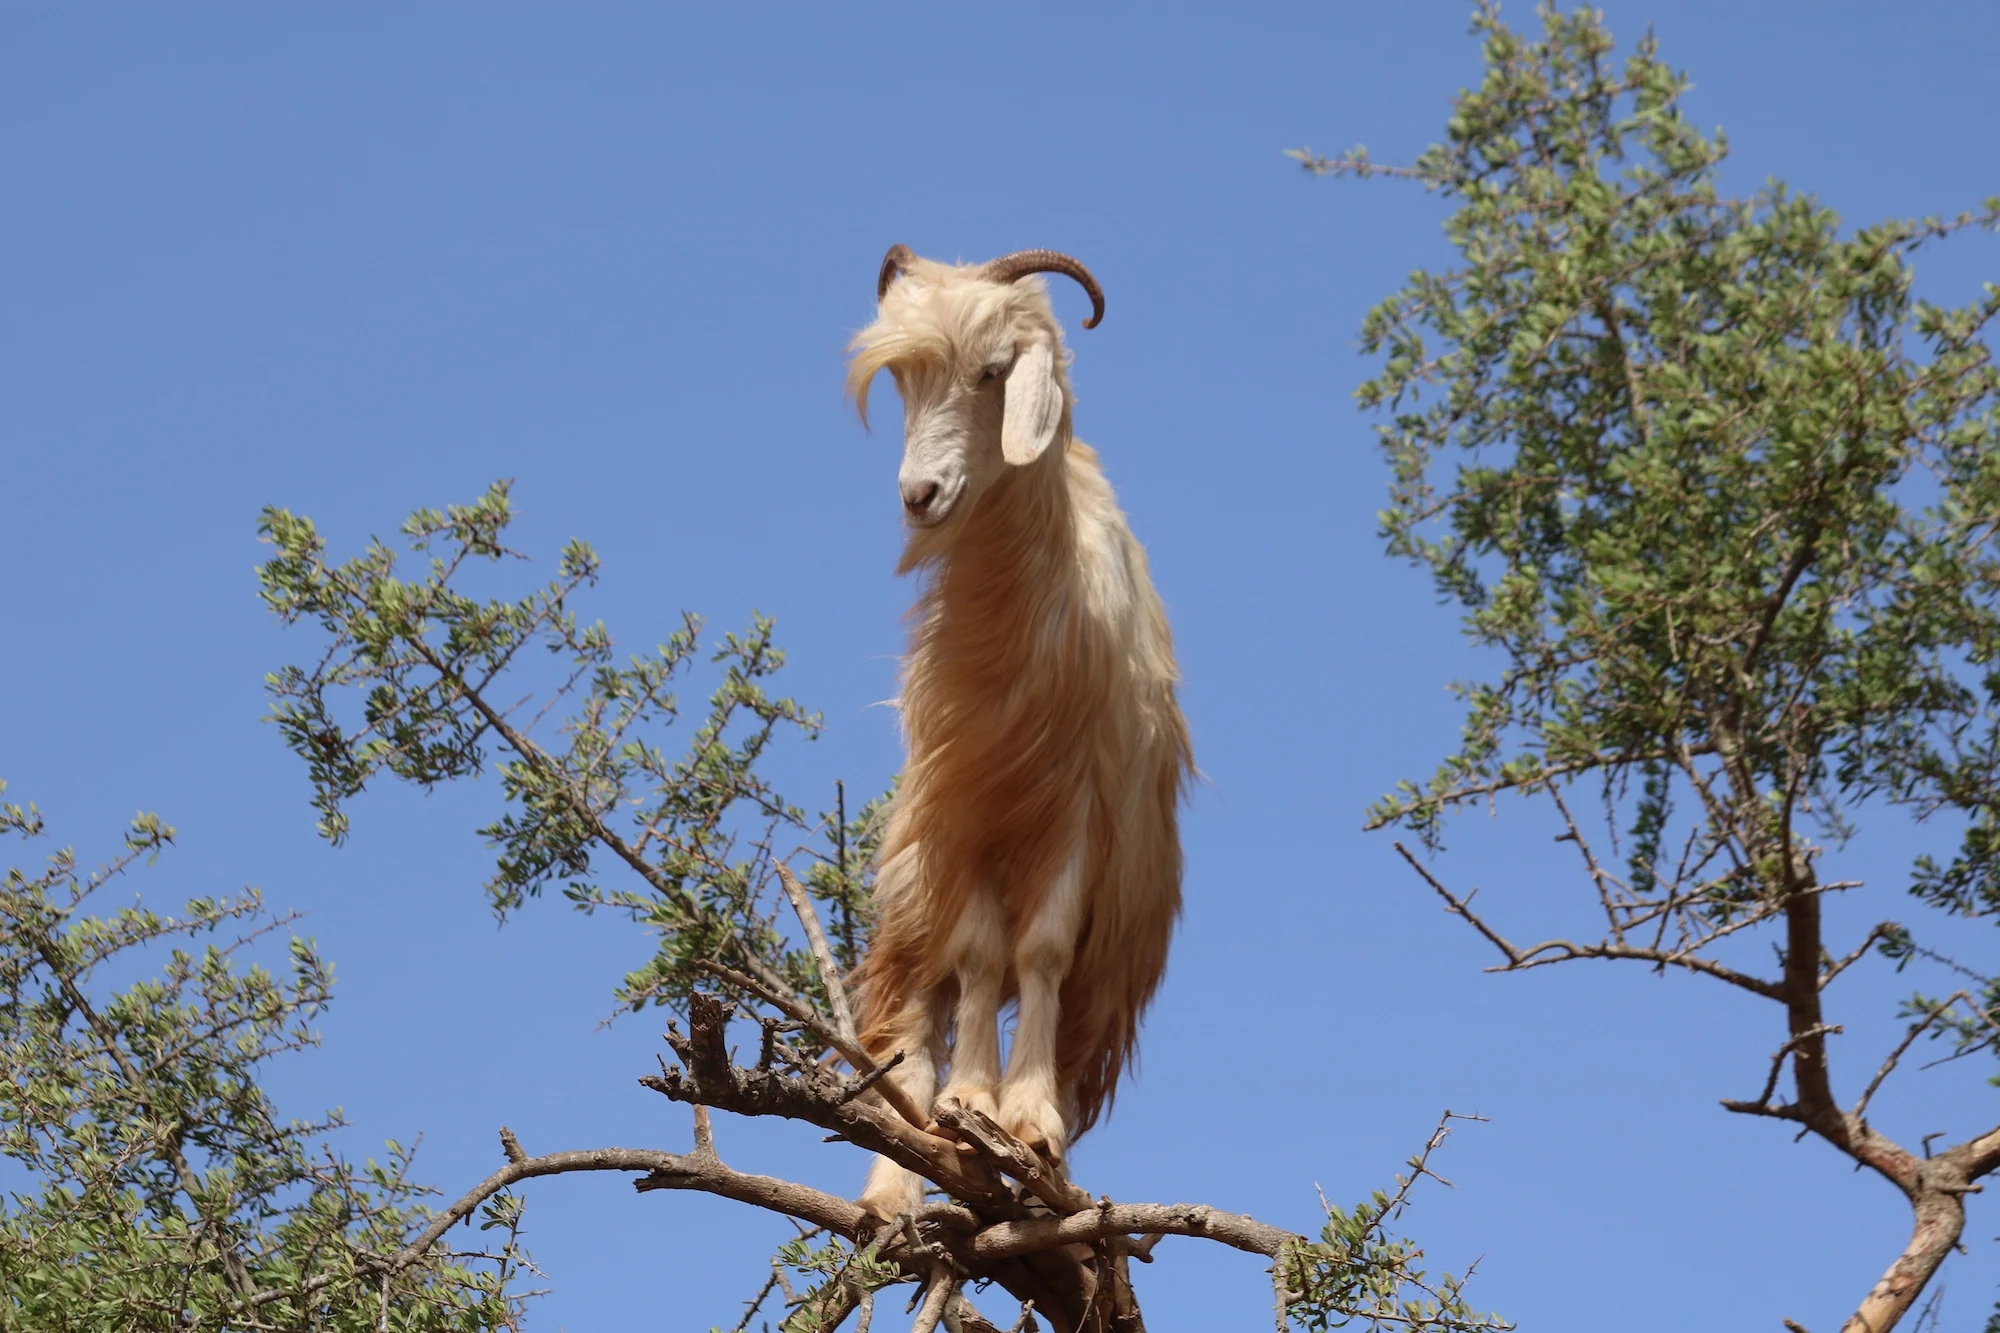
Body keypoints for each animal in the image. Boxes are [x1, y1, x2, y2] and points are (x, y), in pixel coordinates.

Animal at [844, 245, 1192, 1223]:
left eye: (993, 372)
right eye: (904, 379)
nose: (920, 495)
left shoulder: (1077, 812)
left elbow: (1038, 951)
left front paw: (1027, 1118)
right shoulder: (964, 811)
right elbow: (976, 957)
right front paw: (972, 1100)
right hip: (912, 890)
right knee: (914, 1025)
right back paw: (895, 1188)